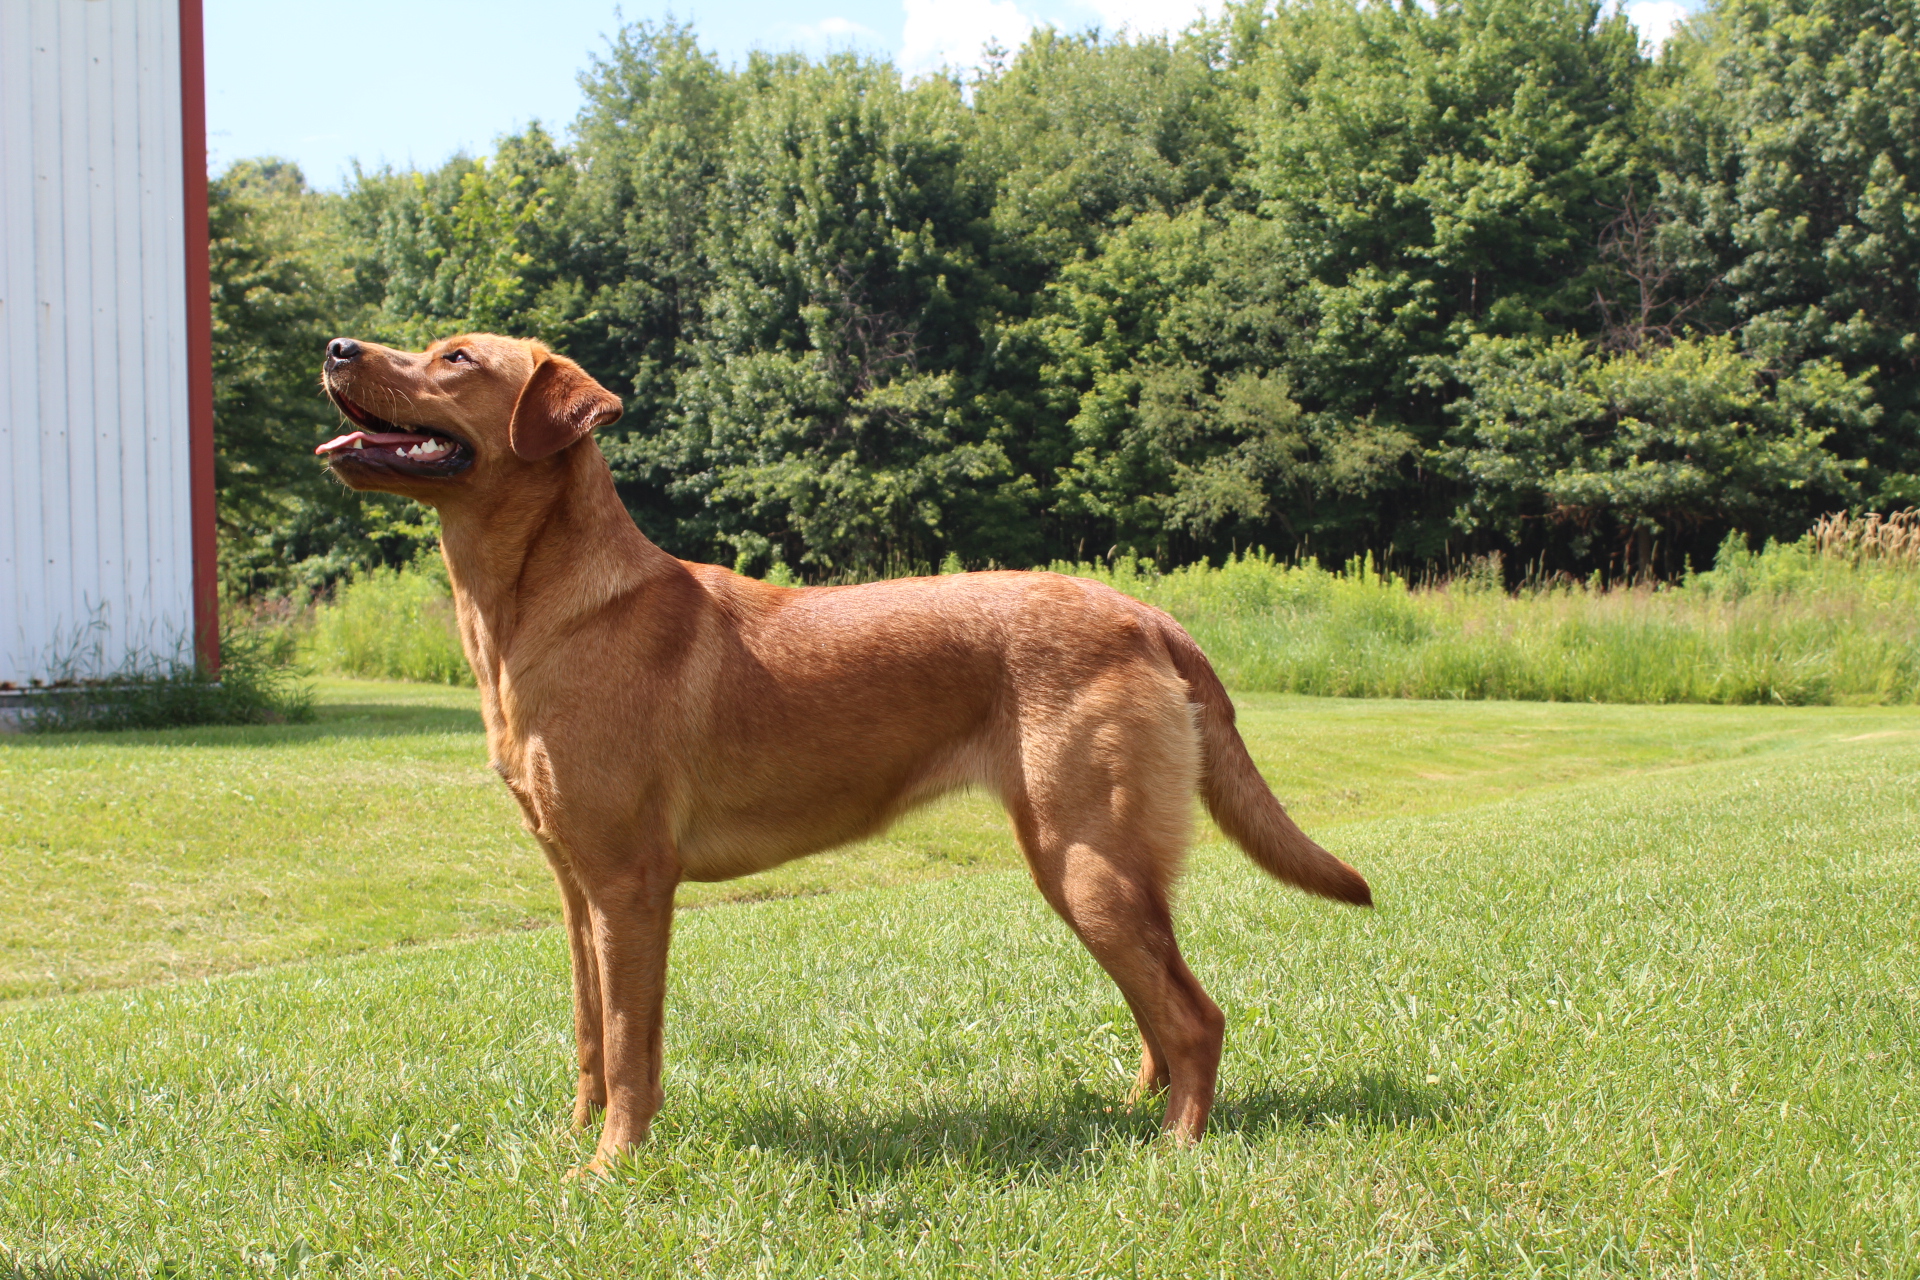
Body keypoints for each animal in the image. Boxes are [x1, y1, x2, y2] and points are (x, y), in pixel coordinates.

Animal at [314, 335, 1367, 1174]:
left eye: (456, 358)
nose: (335, 346)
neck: (528, 615)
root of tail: (1144, 613)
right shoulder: (577, 887)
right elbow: (589, 1040)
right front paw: (573, 1144)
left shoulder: (629, 884)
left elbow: (627, 1048)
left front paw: (609, 1170)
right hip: (1096, 868)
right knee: (1162, 1010)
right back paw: (1130, 1113)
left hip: (1086, 857)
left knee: (1197, 1016)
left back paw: (1174, 1152)